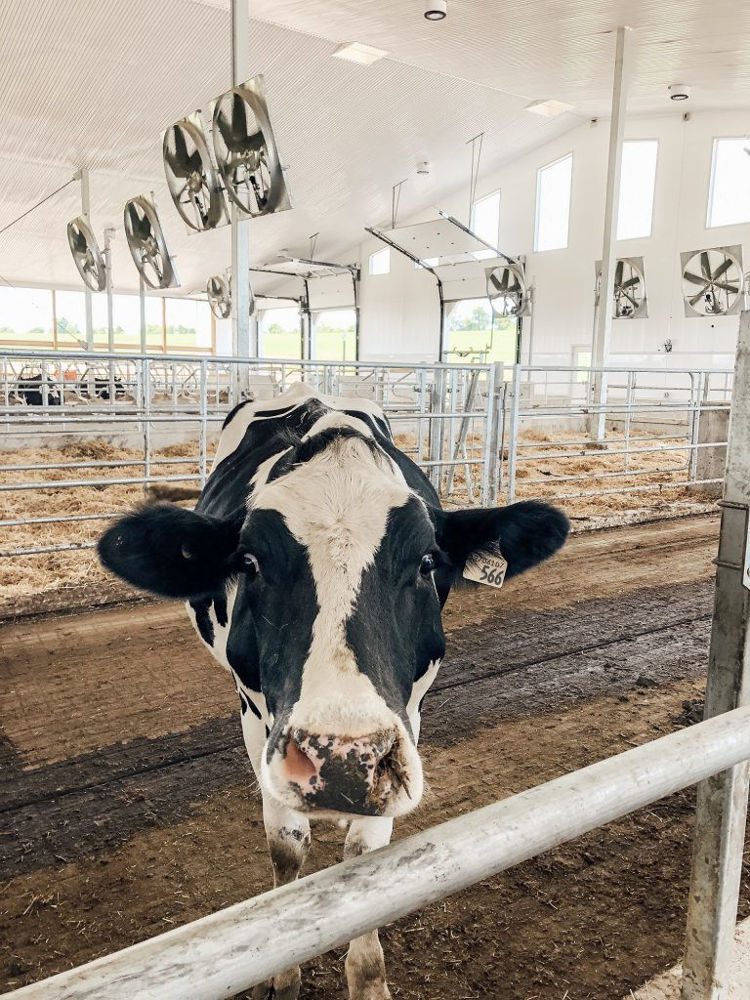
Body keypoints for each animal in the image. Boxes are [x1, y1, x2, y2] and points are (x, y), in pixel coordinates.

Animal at [97, 382, 569, 1000]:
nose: (342, 761)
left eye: (427, 562)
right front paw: (281, 976)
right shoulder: (256, 718)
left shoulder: (406, 721)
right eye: (250, 561)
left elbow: (364, 858)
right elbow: (286, 843)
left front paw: (367, 975)